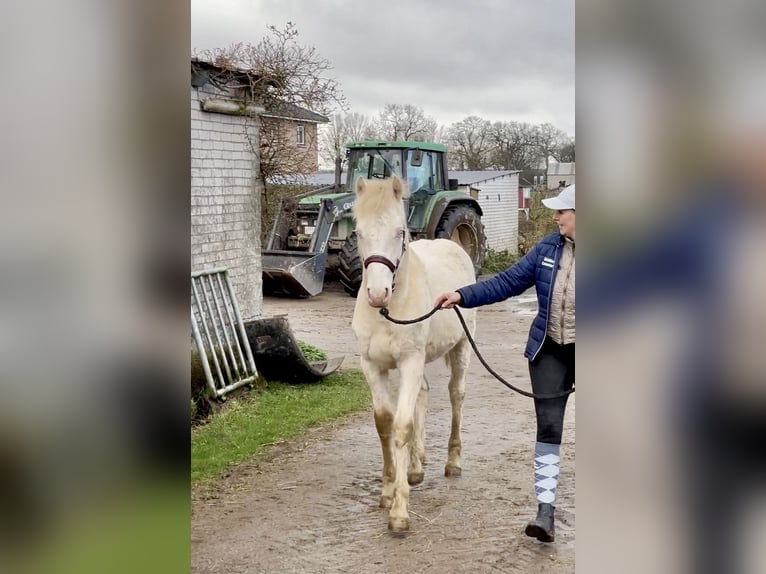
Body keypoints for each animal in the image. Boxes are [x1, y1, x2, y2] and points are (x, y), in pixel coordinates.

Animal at [352, 177, 476, 536]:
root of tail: (455, 247)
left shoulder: (409, 363)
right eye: (358, 232)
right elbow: (384, 423)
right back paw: (416, 467)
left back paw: (453, 461)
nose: (377, 293)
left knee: (455, 395)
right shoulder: (372, 366)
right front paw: (388, 489)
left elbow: (402, 427)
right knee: (424, 393)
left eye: (399, 232)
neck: (387, 312)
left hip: (460, 348)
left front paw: (399, 512)